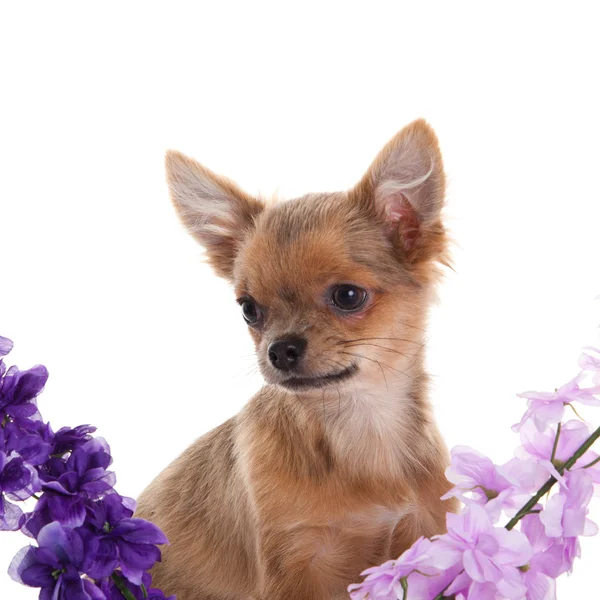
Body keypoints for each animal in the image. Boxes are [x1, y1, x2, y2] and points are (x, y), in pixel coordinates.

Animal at [135, 119, 454, 596]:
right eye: (249, 309)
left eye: (348, 296)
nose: (280, 349)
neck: (361, 424)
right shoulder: (294, 563)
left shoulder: (424, 532)